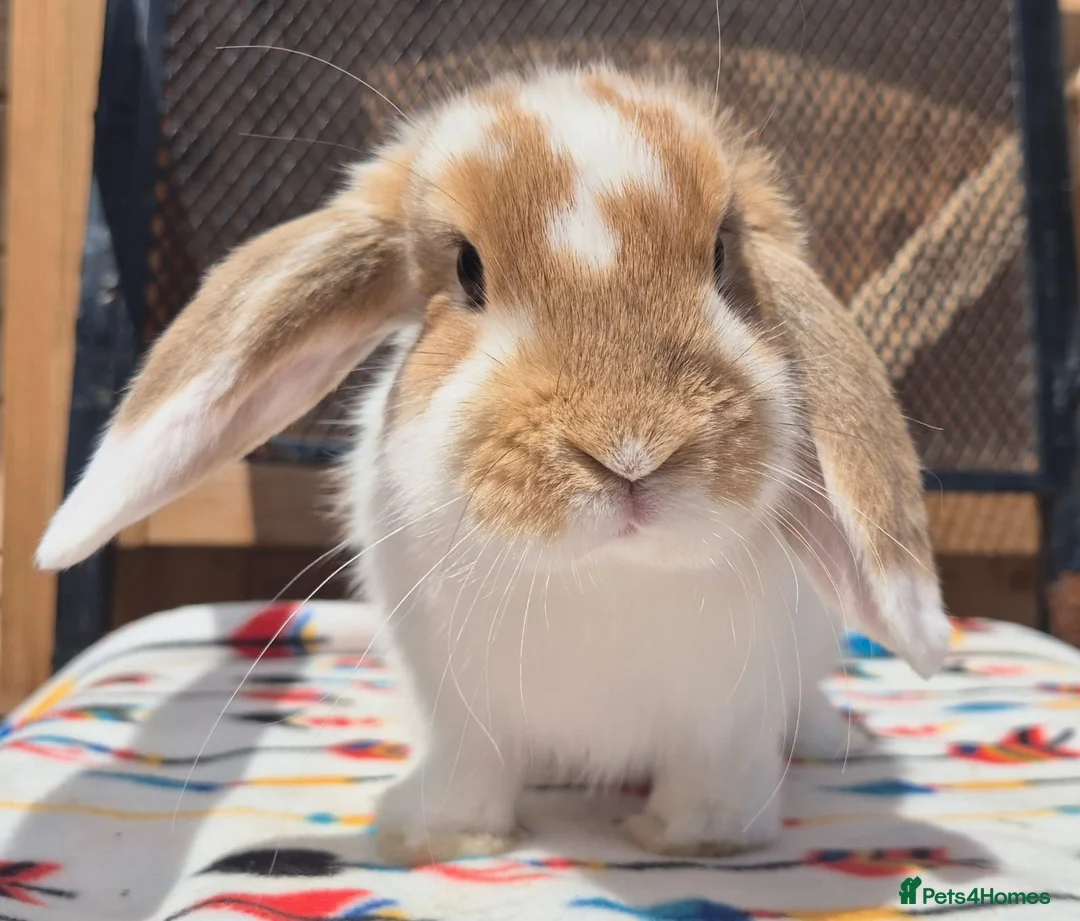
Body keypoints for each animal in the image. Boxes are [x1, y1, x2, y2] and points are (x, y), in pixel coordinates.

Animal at [36, 64, 952, 866]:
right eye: (467, 268)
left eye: (723, 256)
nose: (630, 450)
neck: (606, 574)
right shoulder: (456, 706)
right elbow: (468, 774)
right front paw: (432, 835)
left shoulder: (727, 717)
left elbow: (714, 782)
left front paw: (701, 839)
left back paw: (830, 737)